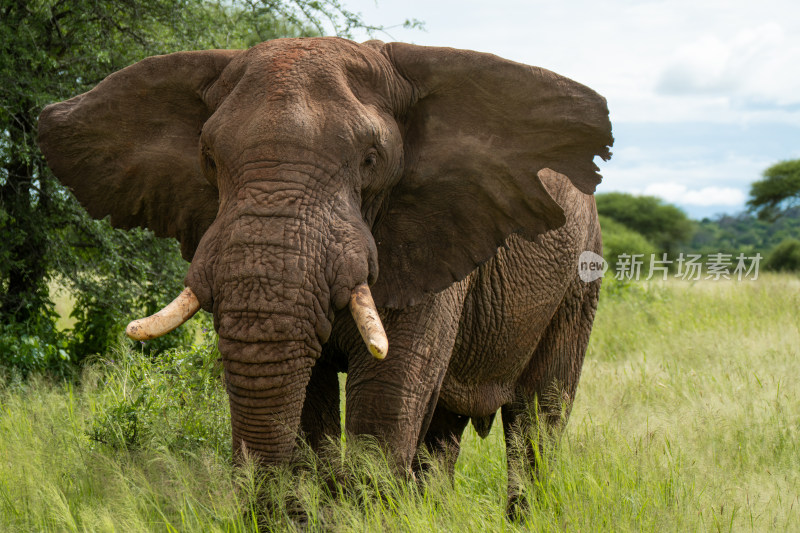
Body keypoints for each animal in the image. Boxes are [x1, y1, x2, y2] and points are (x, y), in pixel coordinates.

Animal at [36, 36, 612, 502]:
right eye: (208, 159)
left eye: (371, 160)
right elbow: (311, 415)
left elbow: (386, 406)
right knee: (441, 439)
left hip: (580, 279)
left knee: (536, 423)